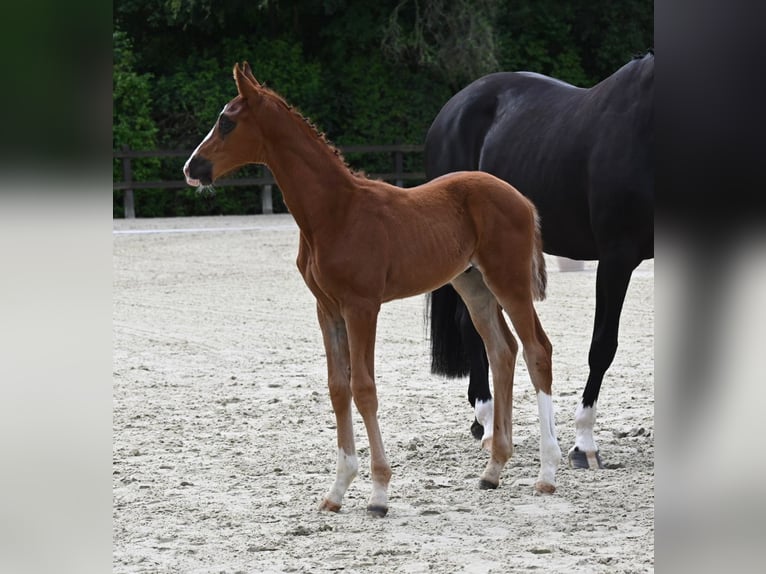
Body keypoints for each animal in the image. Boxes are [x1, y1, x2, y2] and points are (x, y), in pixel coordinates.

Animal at [183, 63, 560, 516]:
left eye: (226, 121)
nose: (191, 168)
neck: (334, 212)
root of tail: (521, 199)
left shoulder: (362, 306)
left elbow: (364, 387)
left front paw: (378, 493)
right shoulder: (327, 308)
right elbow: (337, 387)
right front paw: (337, 490)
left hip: (509, 281)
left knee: (537, 349)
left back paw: (547, 474)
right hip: (473, 285)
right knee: (502, 351)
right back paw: (493, 470)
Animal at [426, 51, 656, 470]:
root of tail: (453, 108)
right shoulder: (616, 257)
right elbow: (603, 345)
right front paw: (584, 444)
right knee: (471, 326)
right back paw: (487, 421)